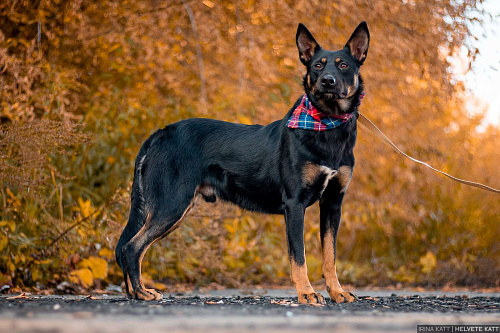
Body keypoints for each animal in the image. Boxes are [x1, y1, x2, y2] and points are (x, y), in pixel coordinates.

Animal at [115, 22, 370, 304]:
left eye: (343, 65)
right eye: (317, 65)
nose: (327, 81)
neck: (327, 124)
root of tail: (160, 133)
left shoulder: (333, 203)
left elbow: (330, 257)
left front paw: (336, 292)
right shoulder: (294, 204)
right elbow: (299, 258)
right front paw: (306, 292)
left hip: (175, 209)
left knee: (133, 247)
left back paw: (134, 292)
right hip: (171, 204)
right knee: (131, 248)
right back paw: (141, 292)